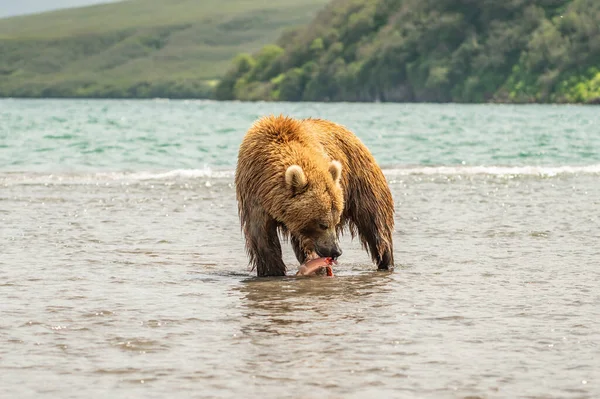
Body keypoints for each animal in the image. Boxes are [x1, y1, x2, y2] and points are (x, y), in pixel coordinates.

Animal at [234, 115, 394, 278]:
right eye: (322, 224)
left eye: (335, 222)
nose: (336, 251)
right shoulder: (253, 195)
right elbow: (262, 238)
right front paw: (272, 271)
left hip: (363, 182)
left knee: (376, 226)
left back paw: (385, 262)